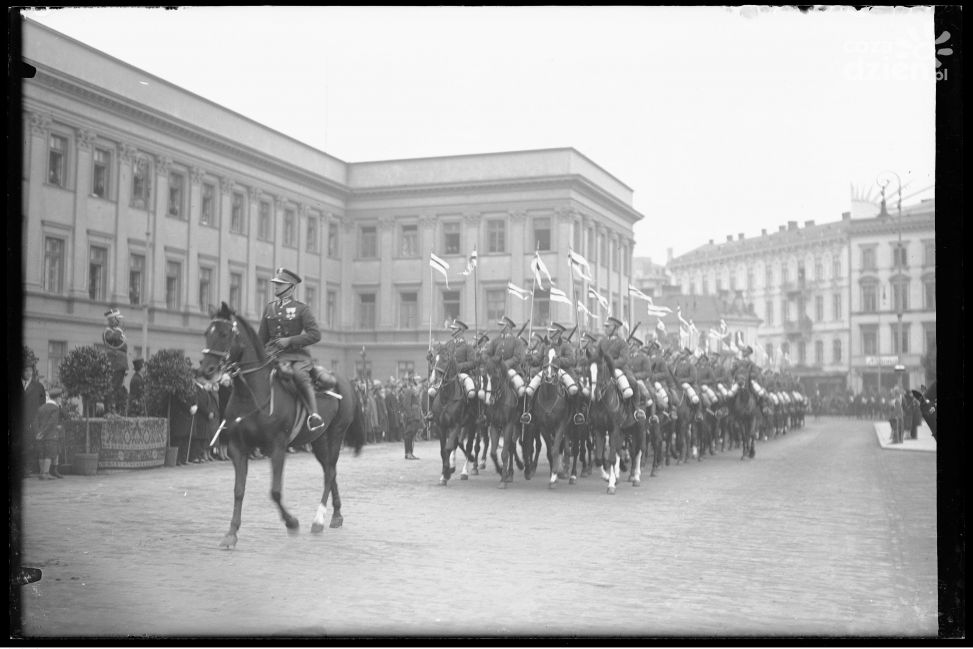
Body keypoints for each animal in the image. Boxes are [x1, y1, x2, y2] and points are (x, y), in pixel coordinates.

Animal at [198, 304, 364, 548]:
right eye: (206, 333)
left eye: (225, 333)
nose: (206, 370)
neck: (252, 393)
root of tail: (346, 382)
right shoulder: (238, 448)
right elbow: (238, 490)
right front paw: (231, 533)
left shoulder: (277, 447)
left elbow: (275, 491)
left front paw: (292, 522)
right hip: (318, 440)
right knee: (329, 471)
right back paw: (336, 515)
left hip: (336, 434)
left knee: (330, 472)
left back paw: (318, 519)